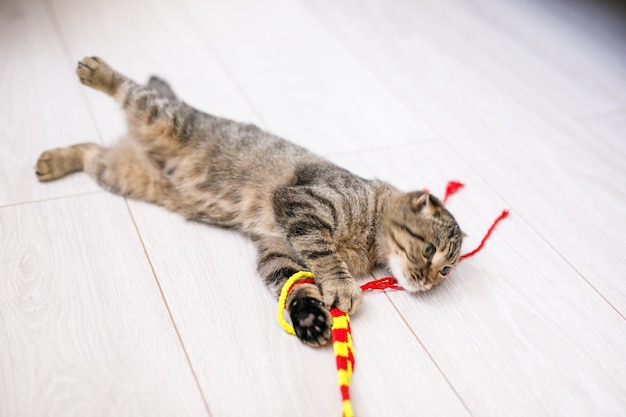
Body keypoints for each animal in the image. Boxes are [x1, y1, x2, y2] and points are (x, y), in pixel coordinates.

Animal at [35, 57, 464, 346]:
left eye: (446, 270)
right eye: (429, 251)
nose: (430, 281)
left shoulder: (276, 250)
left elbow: (296, 287)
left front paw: (310, 319)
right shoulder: (303, 205)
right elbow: (324, 258)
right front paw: (340, 287)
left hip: (122, 174)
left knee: (91, 150)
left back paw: (52, 161)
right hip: (163, 118)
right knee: (131, 90)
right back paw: (95, 71)